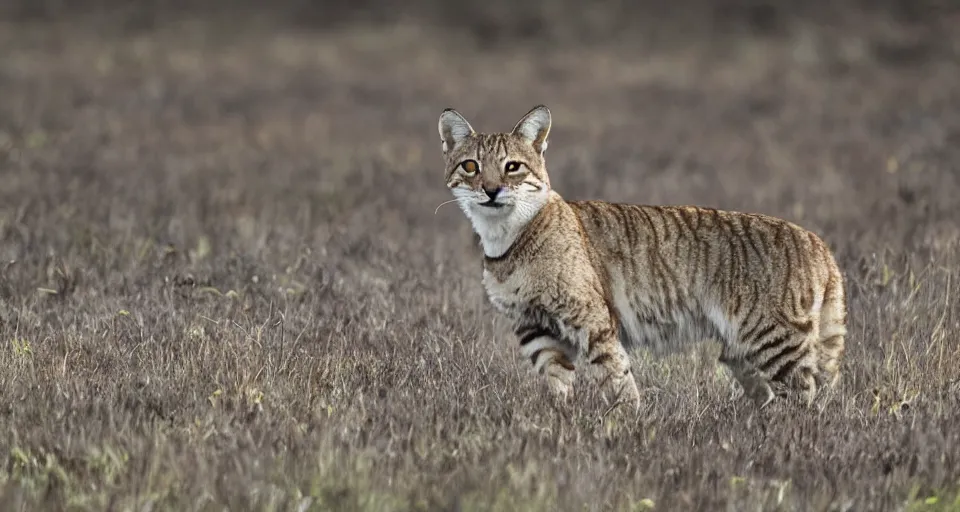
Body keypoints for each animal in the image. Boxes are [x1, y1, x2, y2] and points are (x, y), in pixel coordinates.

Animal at [438, 106, 844, 410]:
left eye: (513, 166)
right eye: (471, 166)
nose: (492, 190)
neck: (504, 236)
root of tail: (818, 242)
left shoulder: (590, 318)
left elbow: (614, 373)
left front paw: (627, 423)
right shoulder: (536, 330)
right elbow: (557, 384)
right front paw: (557, 421)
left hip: (775, 339)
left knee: (807, 395)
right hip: (742, 352)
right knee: (781, 394)